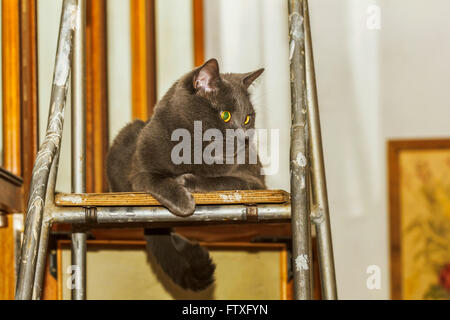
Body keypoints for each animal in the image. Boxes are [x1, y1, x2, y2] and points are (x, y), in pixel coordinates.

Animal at [107, 58, 266, 292]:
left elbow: (227, 180)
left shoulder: (256, 182)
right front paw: (183, 200)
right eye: (225, 115)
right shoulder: (139, 171)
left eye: (248, 119)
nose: (244, 138)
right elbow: (156, 180)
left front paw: (188, 180)